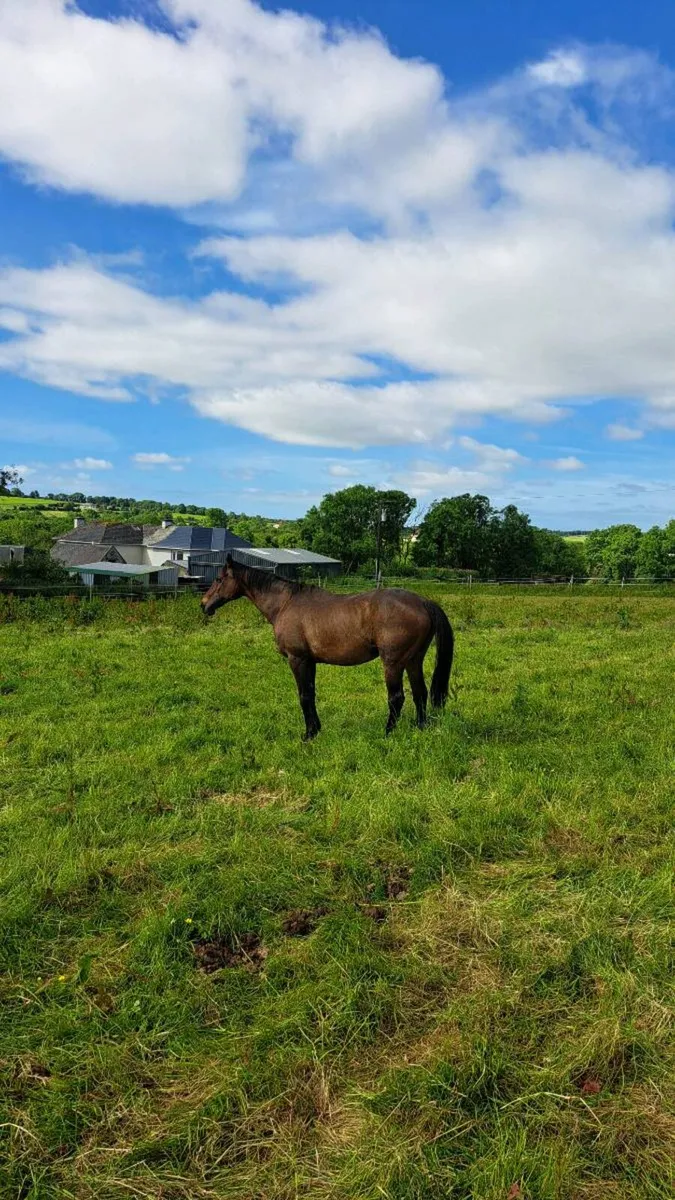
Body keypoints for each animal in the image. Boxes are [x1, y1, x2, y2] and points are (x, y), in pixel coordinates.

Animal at [201, 555, 454, 741]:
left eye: (219, 579)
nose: (204, 605)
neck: (285, 604)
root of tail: (423, 602)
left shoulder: (297, 659)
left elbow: (304, 696)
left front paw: (308, 735)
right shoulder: (310, 661)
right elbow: (311, 694)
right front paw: (316, 729)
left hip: (393, 663)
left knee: (397, 697)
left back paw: (387, 733)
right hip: (413, 660)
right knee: (420, 693)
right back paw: (420, 727)